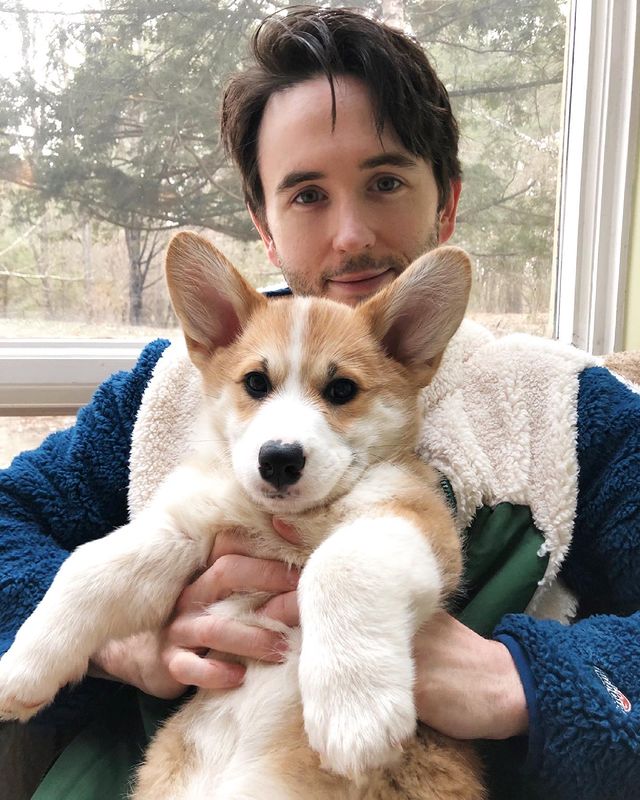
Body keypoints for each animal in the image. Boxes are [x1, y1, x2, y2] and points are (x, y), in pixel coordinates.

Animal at [0, 231, 482, 800]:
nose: (279, 459)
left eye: (342, 390)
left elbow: (338, 565)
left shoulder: (414, 521)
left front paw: (353, 711)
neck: (284, 518)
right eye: (255, 382)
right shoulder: (183, 530)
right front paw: (22, 670)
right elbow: (87, 569)